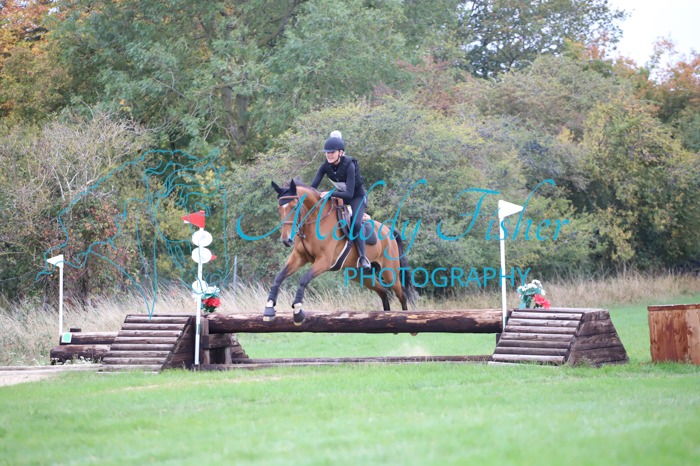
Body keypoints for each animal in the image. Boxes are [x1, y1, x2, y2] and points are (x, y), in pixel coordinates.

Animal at [264, 179, 415, 324]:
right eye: (279, 208)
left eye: (295, 207)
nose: (286, 240)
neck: (315, 222)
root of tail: (388, 230)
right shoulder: (299, 257)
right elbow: (279, 276)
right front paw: (269, 308)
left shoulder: (324, 261)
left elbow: (304, 279)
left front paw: (298, 311)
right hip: (359, 274)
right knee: (383, 291)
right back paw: (386, 317)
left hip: (389, 272)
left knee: (401, 294)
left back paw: (406, 318)